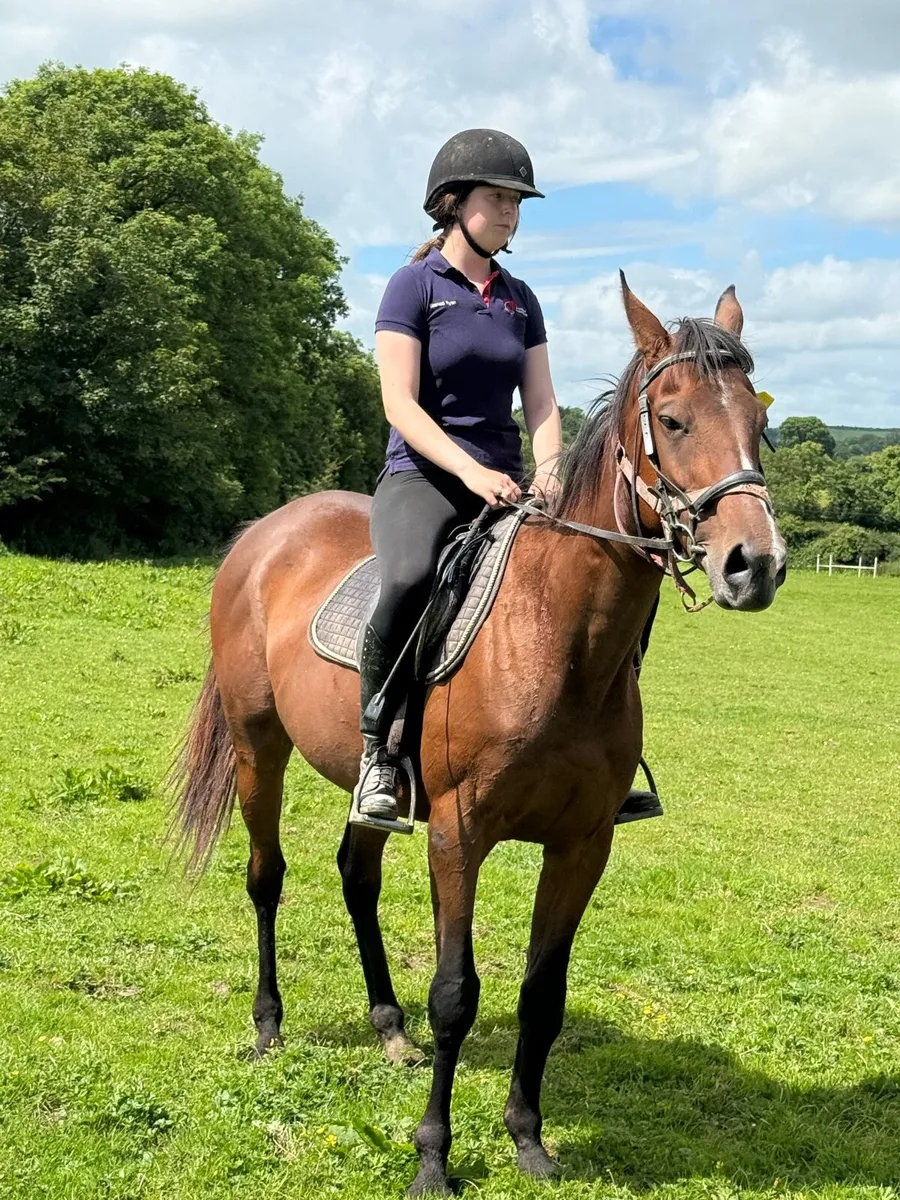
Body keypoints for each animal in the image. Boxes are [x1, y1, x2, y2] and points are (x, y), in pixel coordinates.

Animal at [172, 276, 787, 1195]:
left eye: (758, 420)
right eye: (674, 420)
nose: (756, 564)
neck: (556, 638)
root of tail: (265, 533)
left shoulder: (583, 842)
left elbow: (543, 994)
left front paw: (528, 1138)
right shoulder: (459, 834)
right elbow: (456, 994)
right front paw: (433, 1155)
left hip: (371, 782)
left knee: (355, 874)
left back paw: (388, 1026)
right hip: (258, 748)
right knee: (266, 878)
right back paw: (269, 1023)